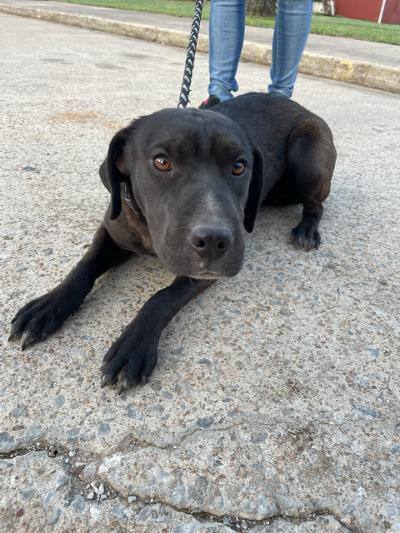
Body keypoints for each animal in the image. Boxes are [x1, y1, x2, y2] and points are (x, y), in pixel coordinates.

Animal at [8, 92, 334, 386]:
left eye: (239, 166)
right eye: (162, 162)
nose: (214, 241)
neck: (148, 231)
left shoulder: (203, 273)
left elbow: (161, 298)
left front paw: (135, 344)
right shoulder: (112, 229)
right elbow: (83, 268)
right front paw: (49, 305)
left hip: (308, 156)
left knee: (316, 205)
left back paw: (306, 229)